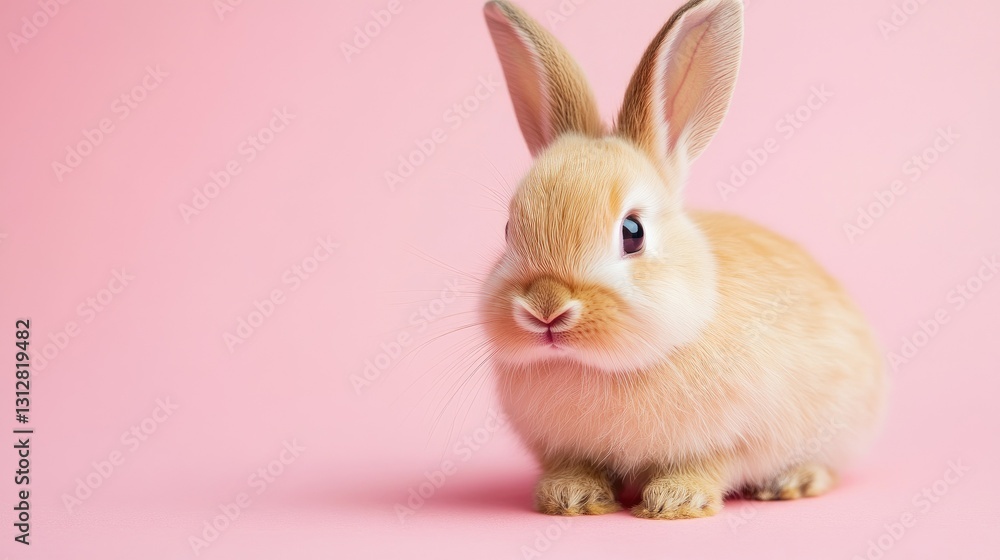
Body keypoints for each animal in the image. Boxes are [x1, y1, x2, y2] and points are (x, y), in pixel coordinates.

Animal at [478, 0, 887, 519]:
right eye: (509, 231)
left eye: (633, 232)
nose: (546, 309)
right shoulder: (559, 446)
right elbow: (574, 465)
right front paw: (570, 496)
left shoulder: (736, 437)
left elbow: (710, 465)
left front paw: (675, 502)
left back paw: (792, 481)